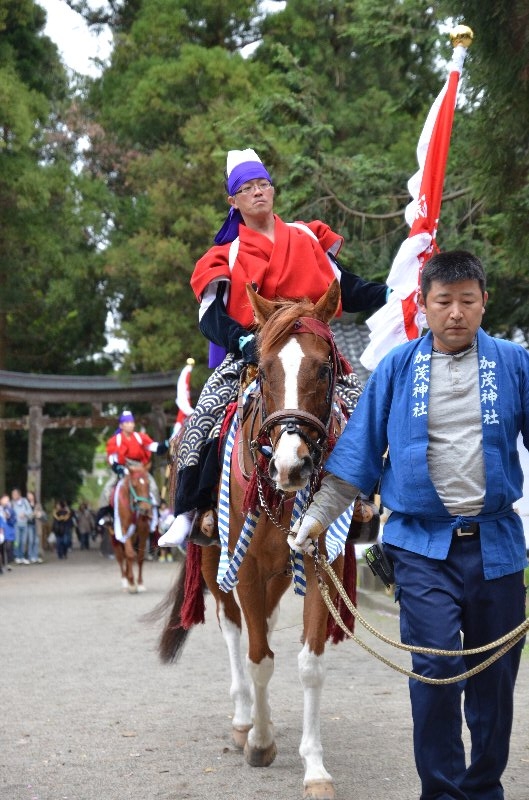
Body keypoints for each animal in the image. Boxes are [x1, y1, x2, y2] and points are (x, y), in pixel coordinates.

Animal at [111, 462, 153, 592]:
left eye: (148, 484)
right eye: (134, 485)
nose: (145, 509)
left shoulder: (143, 531)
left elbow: (139, 557)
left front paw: (139, 583)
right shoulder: (123, 529)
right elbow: (129, 555)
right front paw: (131, 582)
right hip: (114, 536)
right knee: (121, 557)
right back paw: (125, 580)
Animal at [155, 278, 356, 796]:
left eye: (324, 368)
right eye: (263, 371)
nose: (291, 464)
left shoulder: (317, 562)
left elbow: (309, 663)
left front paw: (315, 767)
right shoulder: (243, 566)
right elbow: (259, 657)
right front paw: (261, 743)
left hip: (279, 573)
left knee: (262, 619)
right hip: (214, 561)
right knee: (233, 629)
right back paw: (245, 719)